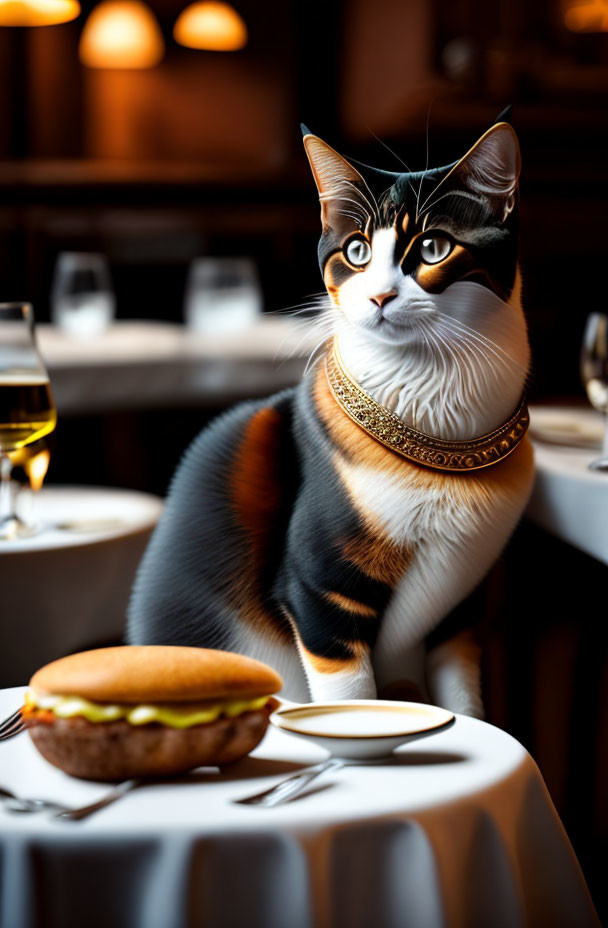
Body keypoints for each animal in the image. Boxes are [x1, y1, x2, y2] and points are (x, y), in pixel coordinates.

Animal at [127, 112, 532, 716]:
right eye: (357, 251)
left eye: (434, 247)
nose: (381, 297)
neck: (445, 432)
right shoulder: (321, 591)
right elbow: (351, 695)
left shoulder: (461, 605)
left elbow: (465, 699)